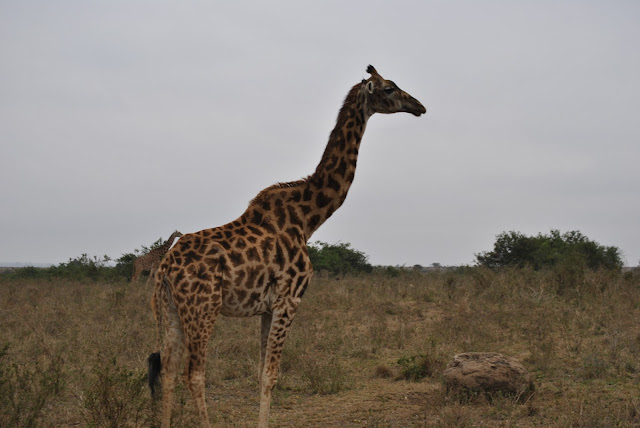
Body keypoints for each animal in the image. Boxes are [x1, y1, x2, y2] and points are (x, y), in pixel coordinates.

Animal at [148, 64, 428, 428]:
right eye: (391, 88)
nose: (419, 106)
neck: (309, 219)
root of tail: (164, 268)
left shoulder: (268, 307)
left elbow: (260, 373)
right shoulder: (290, 299)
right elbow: (271, 375)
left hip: (170, 309)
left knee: (167, 371)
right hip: (203, 307)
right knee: (193, 374)